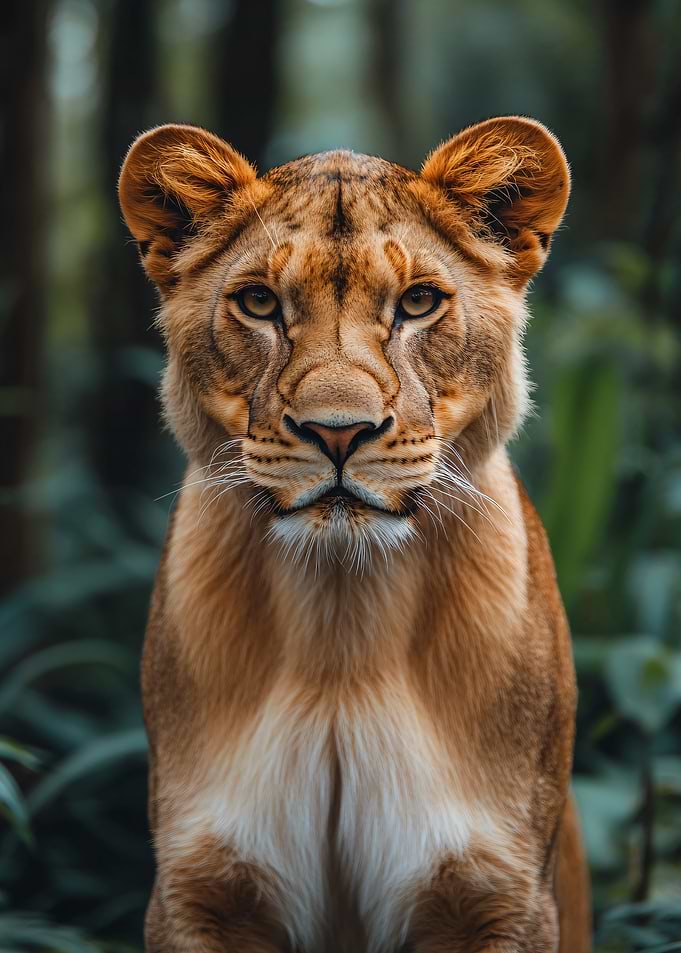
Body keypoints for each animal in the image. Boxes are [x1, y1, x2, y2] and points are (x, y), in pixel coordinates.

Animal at [118, 116, 591, 952]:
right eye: (258, 302)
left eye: (418, 301)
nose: (337, 432)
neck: (341, 612)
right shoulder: (197, 894)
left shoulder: (503, 897)